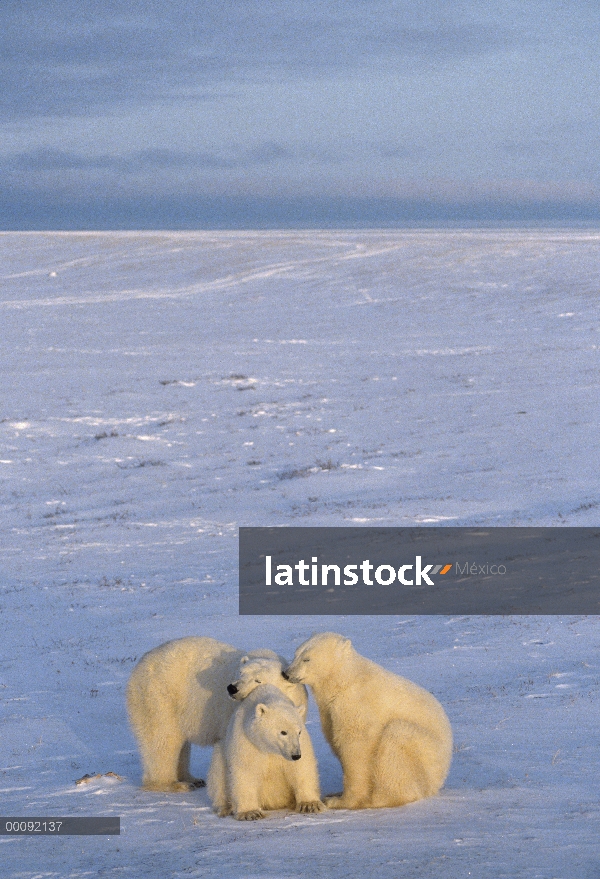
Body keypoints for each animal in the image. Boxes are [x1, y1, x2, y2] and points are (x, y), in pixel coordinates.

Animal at [125, 636, 304, 796]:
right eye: (241, 673)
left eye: (258, 680)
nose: (232, 688)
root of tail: (140, 664)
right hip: (159, 697)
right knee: (163, 739)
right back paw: (172, 784)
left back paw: (192, 779)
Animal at [284, 632, 452, 812]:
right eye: (296, 654)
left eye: (307, 659)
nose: (286, 673)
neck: (344, 679)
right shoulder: (329, 712)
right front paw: (336, 794)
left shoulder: (356, 703)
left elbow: (356, 748)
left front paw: (341, 801)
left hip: (426, 755)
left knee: (396, 737)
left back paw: (377, 799)